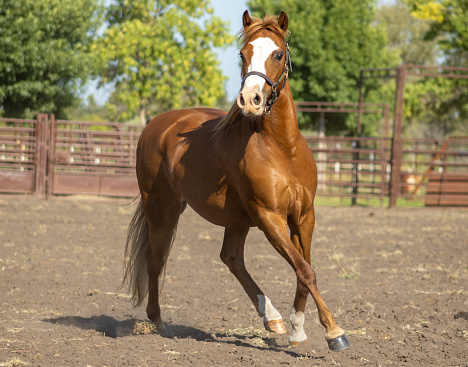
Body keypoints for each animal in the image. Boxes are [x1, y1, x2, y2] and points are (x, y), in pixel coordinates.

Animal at [122, 10, 350, 352]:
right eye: (243, 54)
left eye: (278, 54)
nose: (250, 99)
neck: (282, 149)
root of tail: (156, 126)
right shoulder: (269, 217)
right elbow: (305, 270)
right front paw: (335, 332)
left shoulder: (303, 216)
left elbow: (302, 269)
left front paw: (297, 329)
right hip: (163, 212)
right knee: (155, 259)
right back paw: (159, 321)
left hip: (235, 219)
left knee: (230, 258)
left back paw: (272, 317)